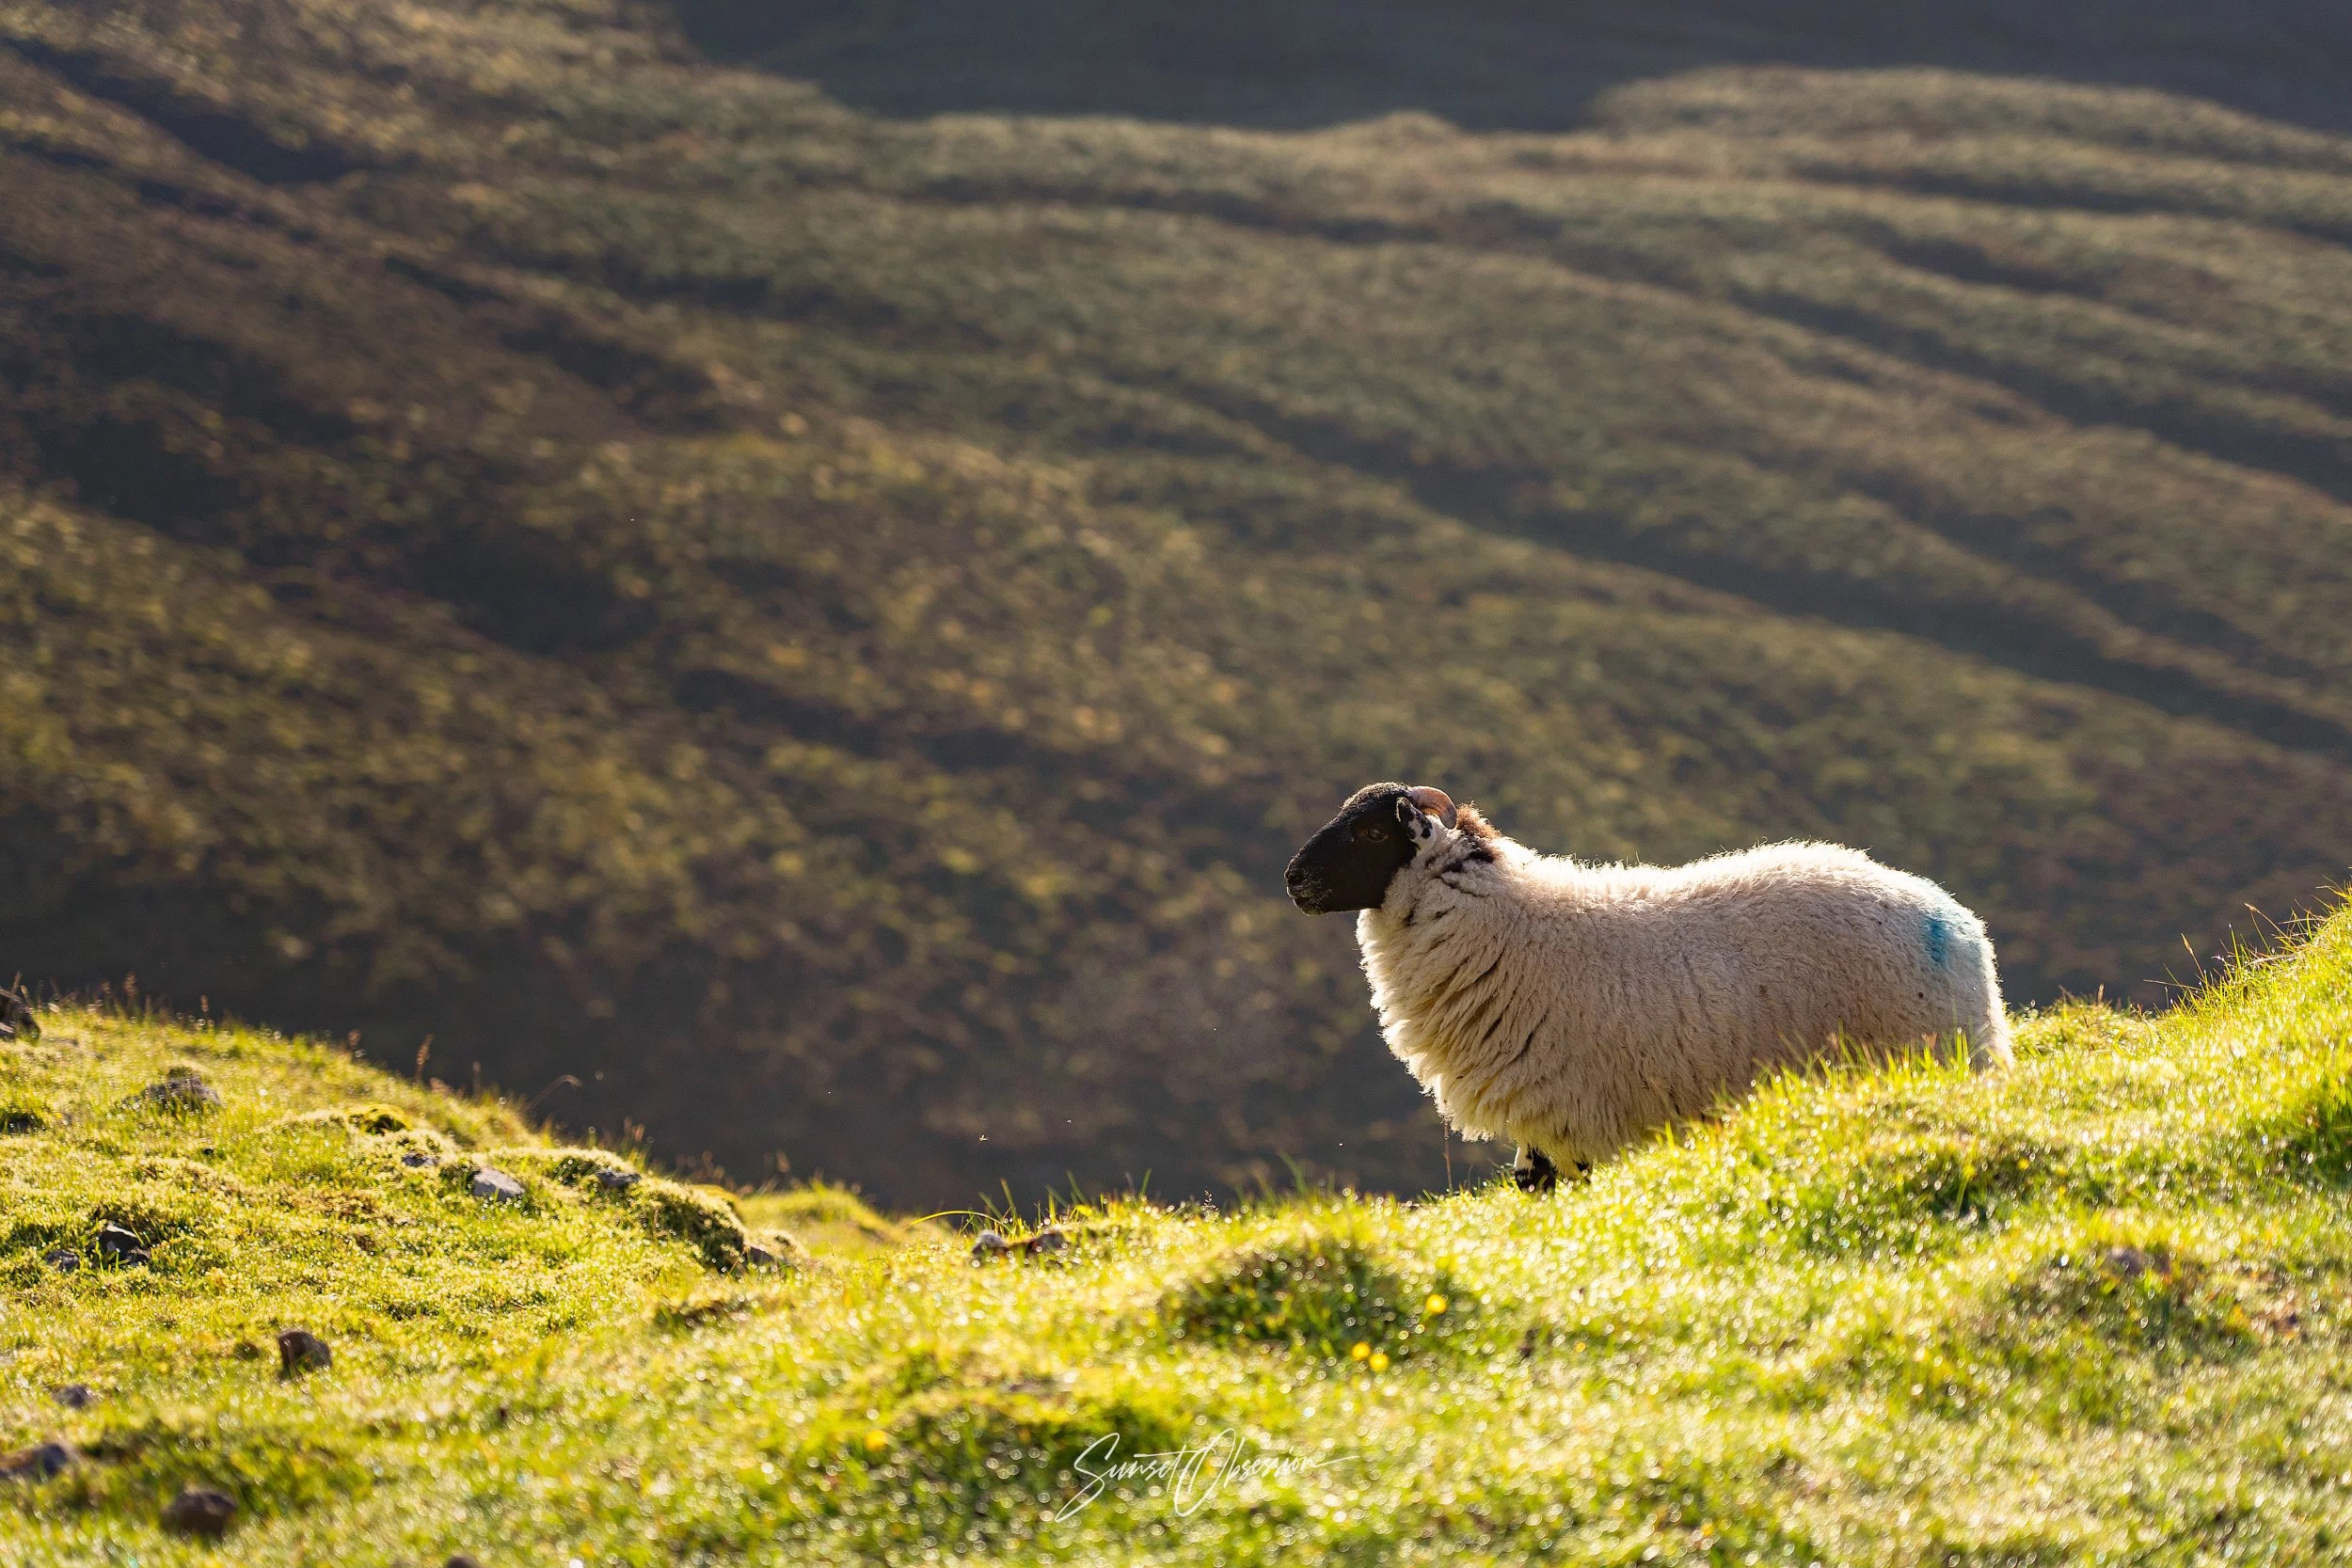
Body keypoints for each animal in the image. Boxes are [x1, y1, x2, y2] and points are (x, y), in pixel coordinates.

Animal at [1283, 783, 2012, 1189]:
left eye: (1369, 830)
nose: (1292, 879)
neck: (1507, 920)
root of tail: (1961, 926)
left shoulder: (1570, 1114)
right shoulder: (1541, 1125)